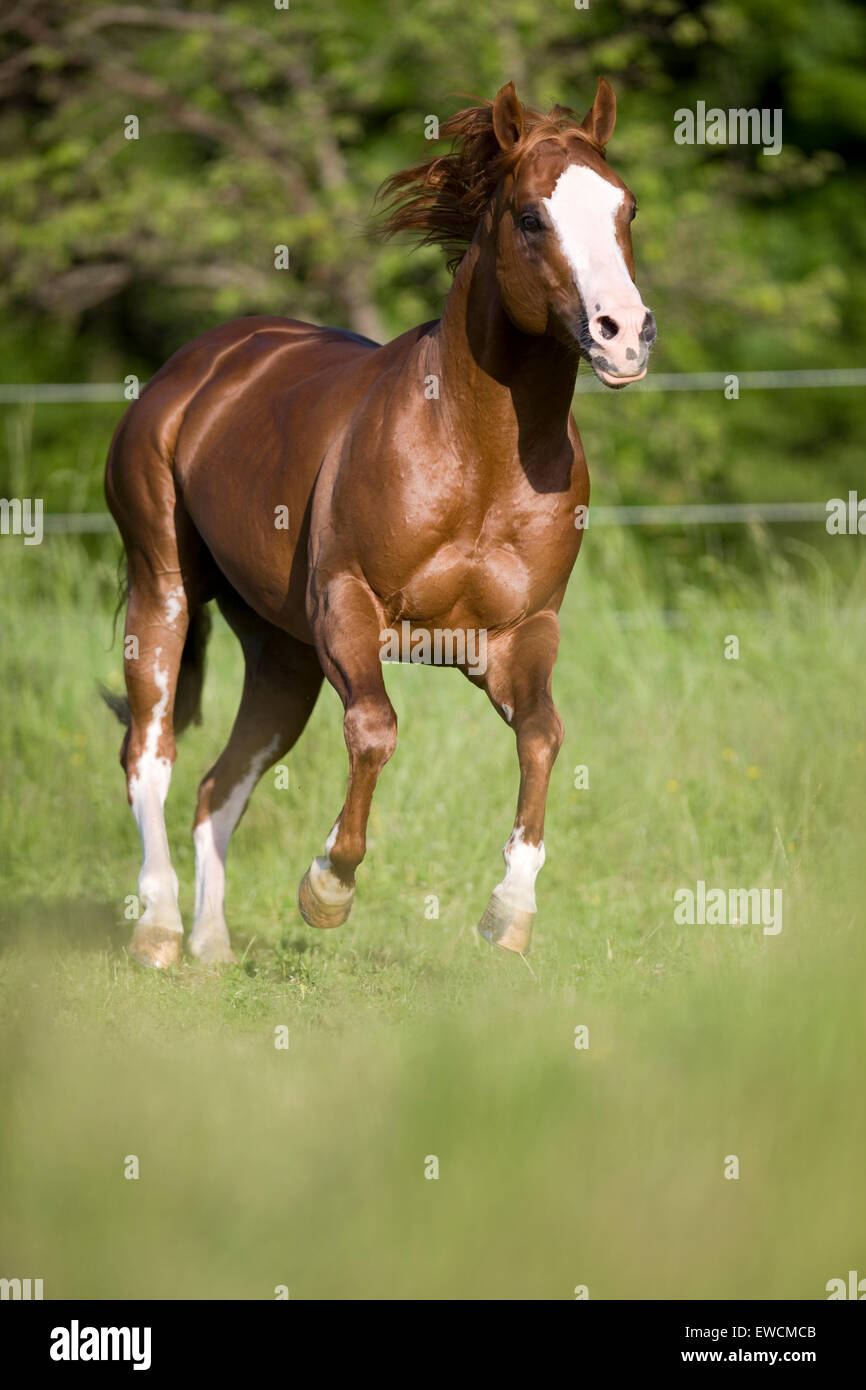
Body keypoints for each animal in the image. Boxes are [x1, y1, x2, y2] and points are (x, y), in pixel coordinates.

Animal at [103, 76, 656, 967]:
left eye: (626, 207)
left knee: (220, 784)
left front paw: (508, 914)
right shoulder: (349, 608)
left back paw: (212, 951)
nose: (625, 336)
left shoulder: (518, 636)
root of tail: (196, 369)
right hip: (166, 587)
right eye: (530, 216)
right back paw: (158, 932)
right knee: (150, 753)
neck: (474, 457)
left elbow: (542, 737)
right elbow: (374, 729)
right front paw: (327, 887)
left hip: (281, 653)